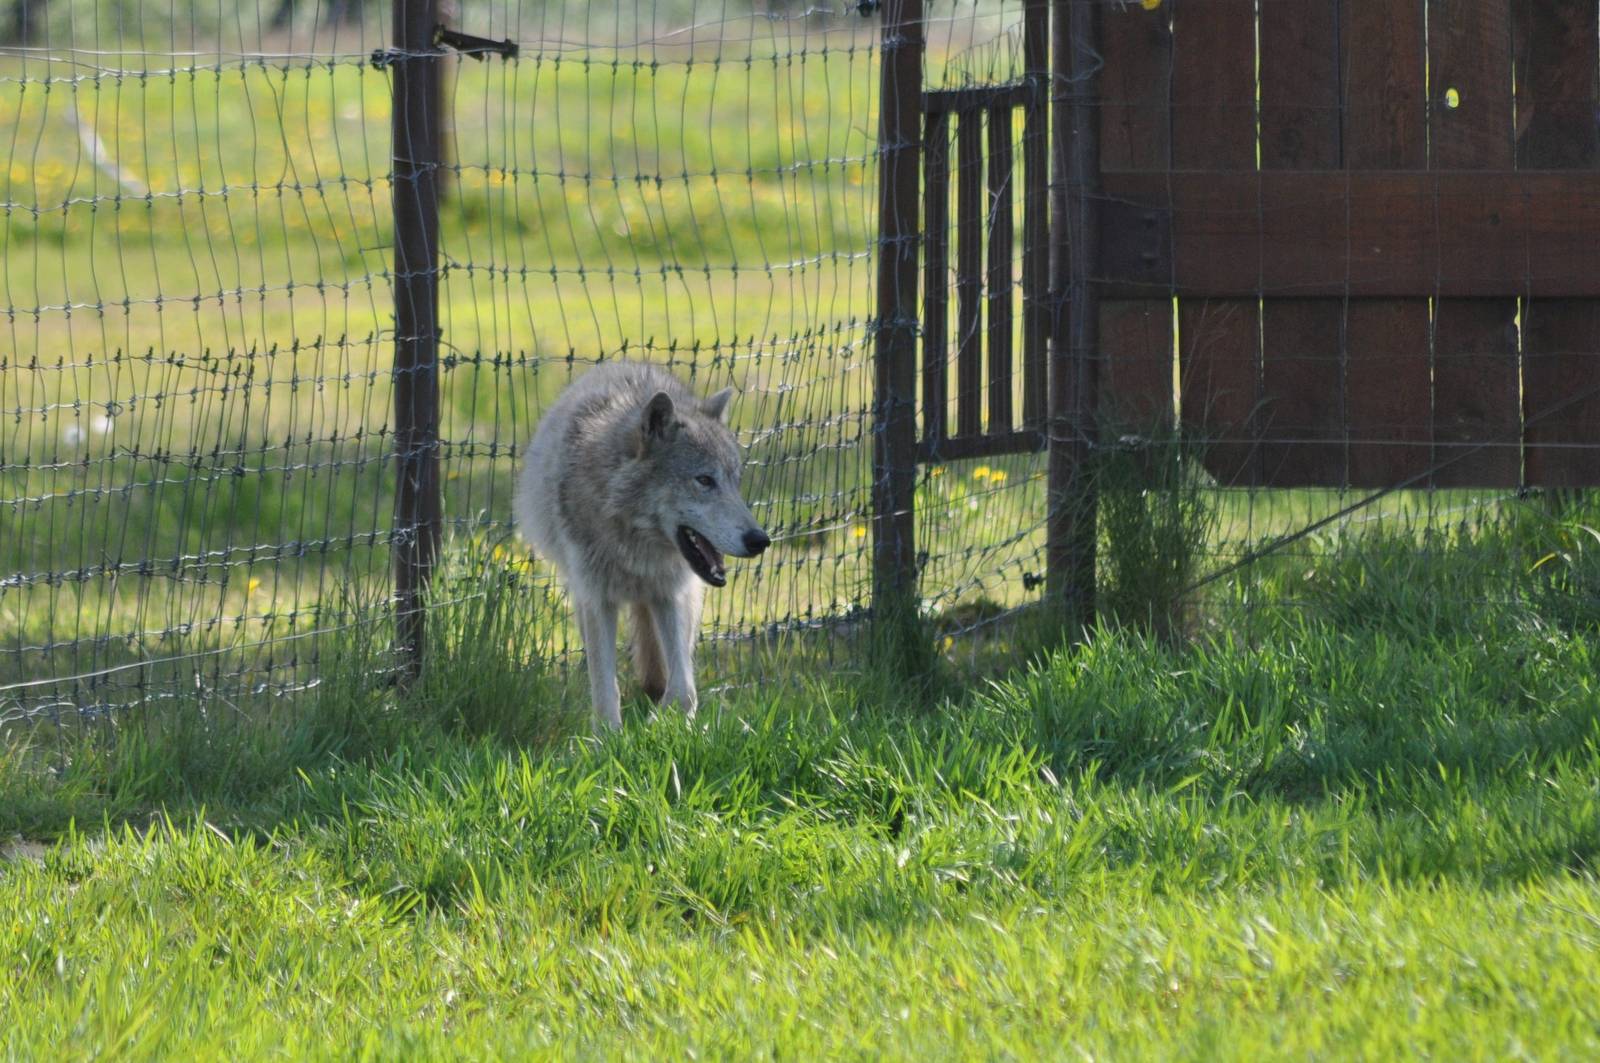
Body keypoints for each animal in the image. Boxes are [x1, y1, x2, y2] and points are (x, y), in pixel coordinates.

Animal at [514, 361, 770, 729]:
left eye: (736, 481)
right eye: (704, 480)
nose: (760, 540)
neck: (636, 546)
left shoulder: (669, 595)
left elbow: (684, 688)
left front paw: (662, 724)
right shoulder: (597, 600)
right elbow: (605, 690)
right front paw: (609, 738)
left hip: (687, 598)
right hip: (583, 598)